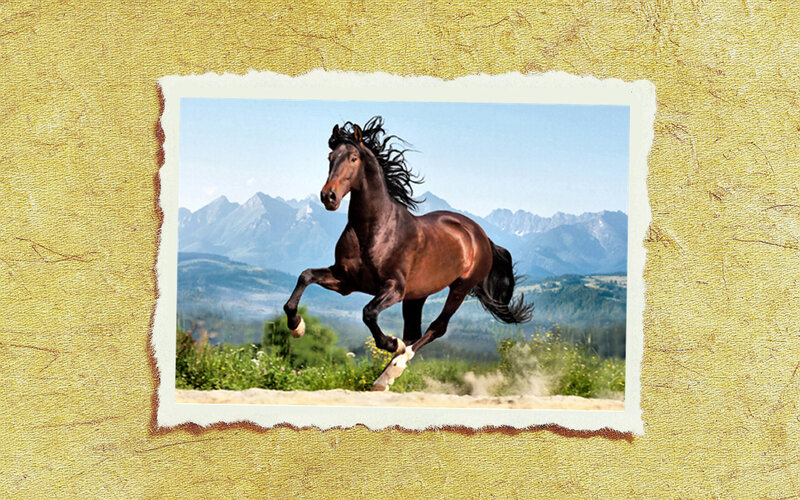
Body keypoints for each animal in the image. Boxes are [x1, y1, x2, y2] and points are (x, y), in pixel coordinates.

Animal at [283, 116, 533, 391]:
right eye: (330, 157)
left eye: (353, 158)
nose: (328, 196)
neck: (374, 230)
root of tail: (480, 235)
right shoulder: (345, 281)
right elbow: (305, 276)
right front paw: (296, 326)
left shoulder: (394, 288)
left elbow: (369, 313)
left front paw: (392, 343)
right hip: (418, 295)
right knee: (414, 331)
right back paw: (385, 377)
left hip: (460, 287)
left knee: (436, 328)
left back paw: (397, 364)